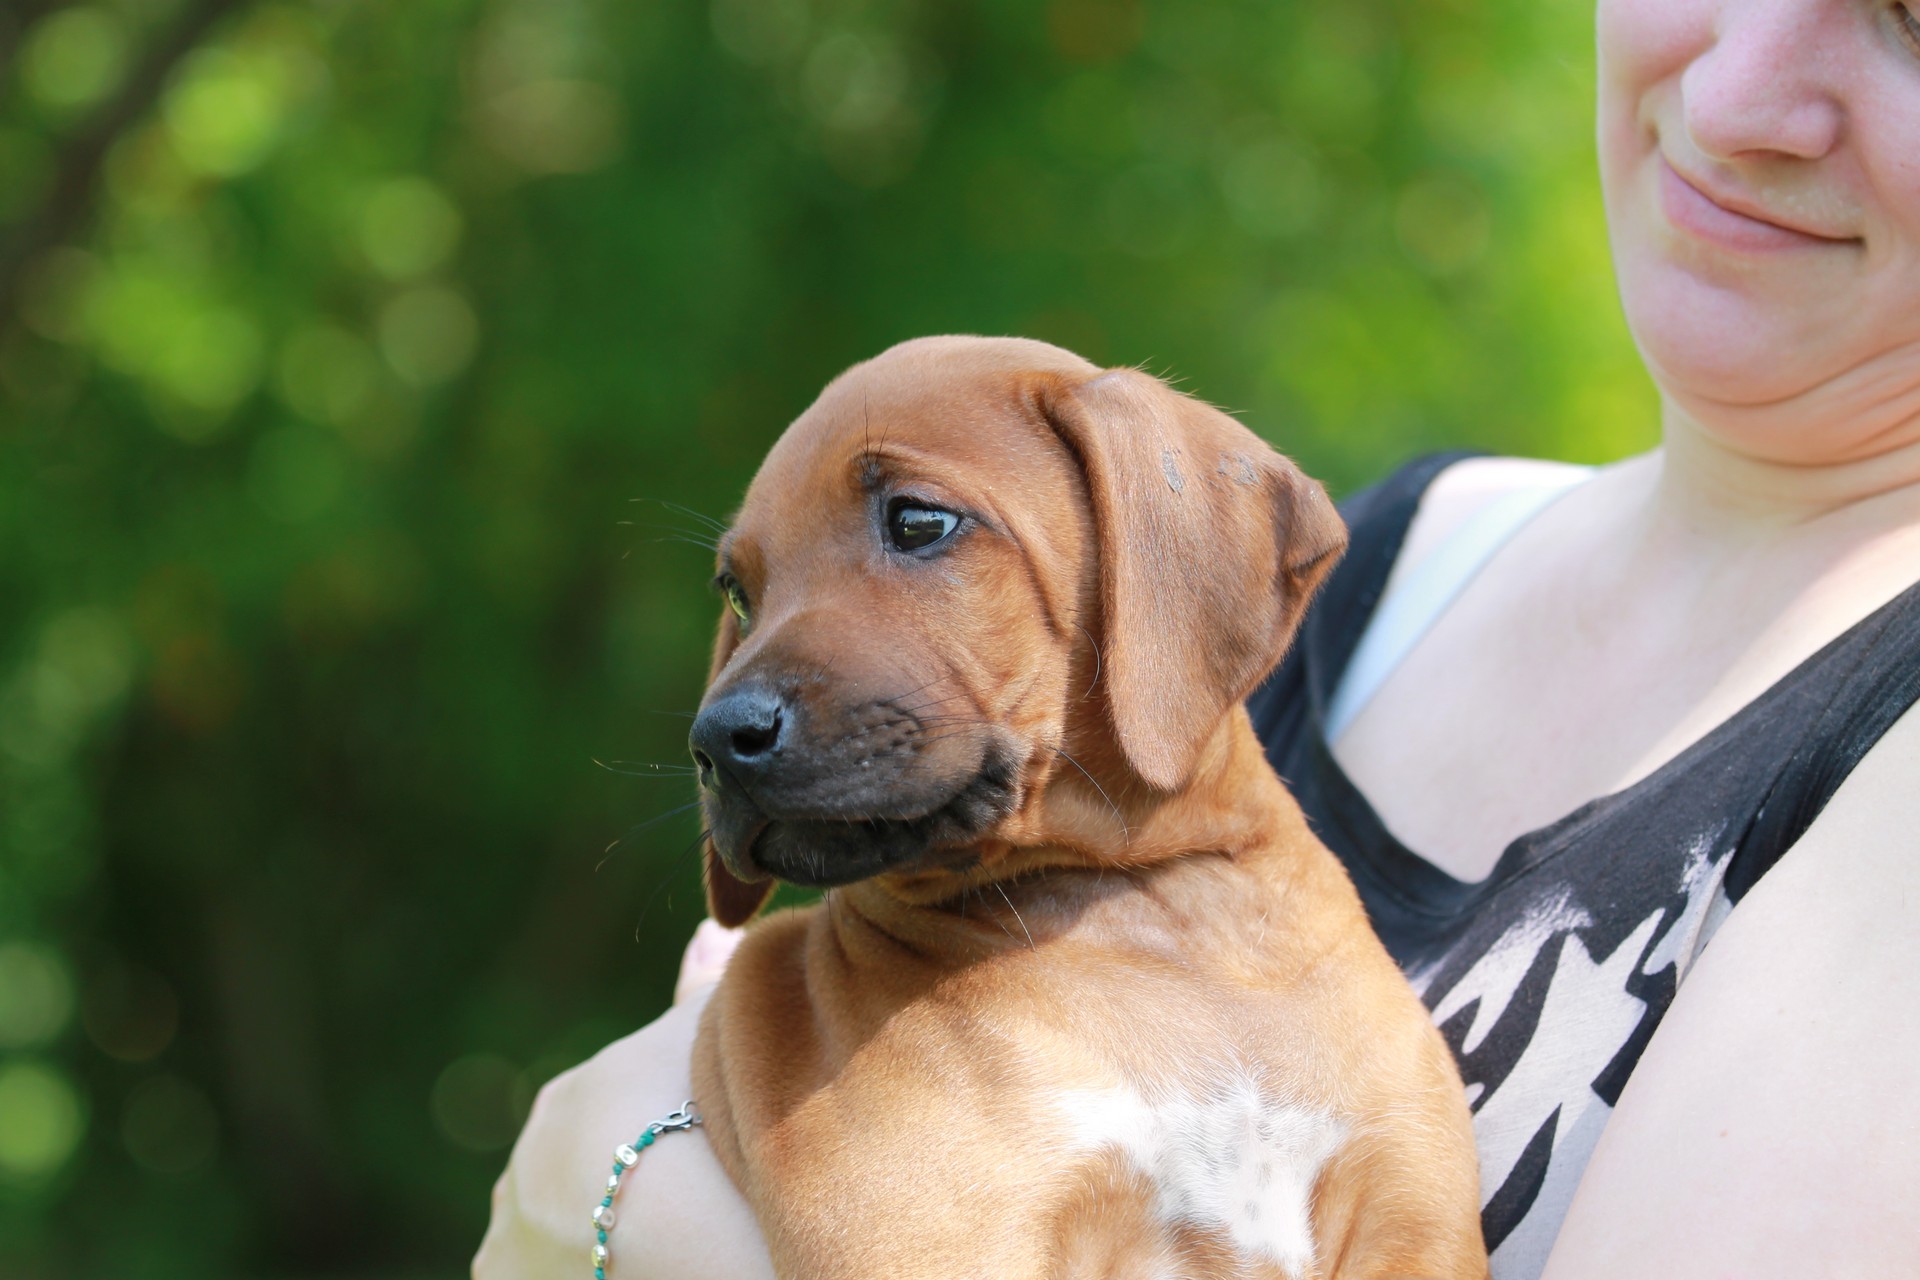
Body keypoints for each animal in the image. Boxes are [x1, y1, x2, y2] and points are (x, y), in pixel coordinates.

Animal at [688, 336, 1485, 1279]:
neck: (1154, 906)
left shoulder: (1412, 1217)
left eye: (918, 523)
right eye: (739, 592)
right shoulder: (943, 1242)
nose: (716, 740)